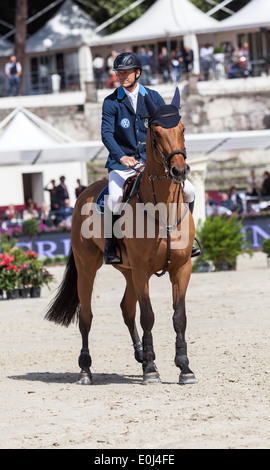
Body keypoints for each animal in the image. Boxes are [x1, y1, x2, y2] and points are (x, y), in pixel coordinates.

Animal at [45, 87, 197, 386]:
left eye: (183, 129)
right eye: (155, 133)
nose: (179, 171)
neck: (162, 210)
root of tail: (85, 191)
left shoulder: (181, 268)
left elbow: (179, 317)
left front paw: (184, 368)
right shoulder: (141, 270)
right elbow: (148, 316)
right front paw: (151, 371)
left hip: (127, 271)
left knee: (127, 309)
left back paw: (140, 356)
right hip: (89, 267)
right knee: (87, 316)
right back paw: (86, 370)